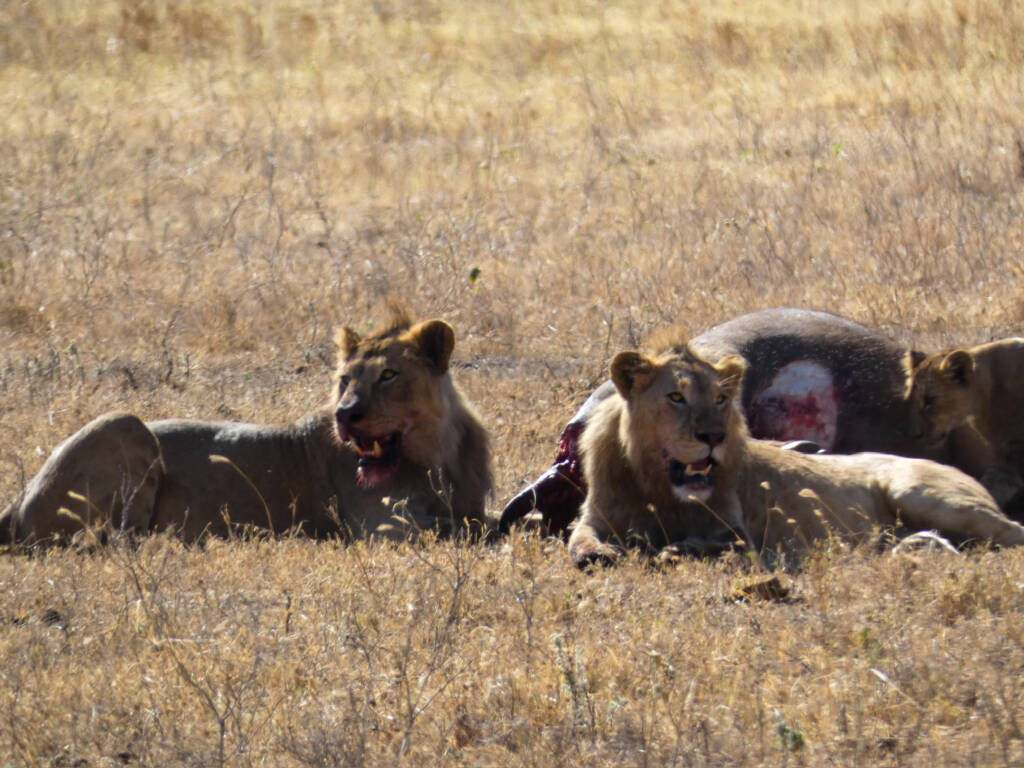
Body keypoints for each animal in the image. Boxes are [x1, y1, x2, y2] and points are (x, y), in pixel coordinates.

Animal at [1, 314, 492, 545]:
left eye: (388, 375)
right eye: (344, 381)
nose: (345, 413)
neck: (439, 454)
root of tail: (18, 501)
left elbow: (475, 519)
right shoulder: (382, 528)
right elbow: (466, 528)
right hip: (124, 423)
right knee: (116, 540)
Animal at [568, 336, 1024, 567]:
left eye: (720, 399)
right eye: (676, 397)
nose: (714, 436)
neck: (657, 486)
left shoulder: (741, 536)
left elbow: (709, 543)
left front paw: (673, 550)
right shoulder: (596, 516)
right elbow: (578, 541)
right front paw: (598, 554)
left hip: (920, 493)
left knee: (1011, 532)